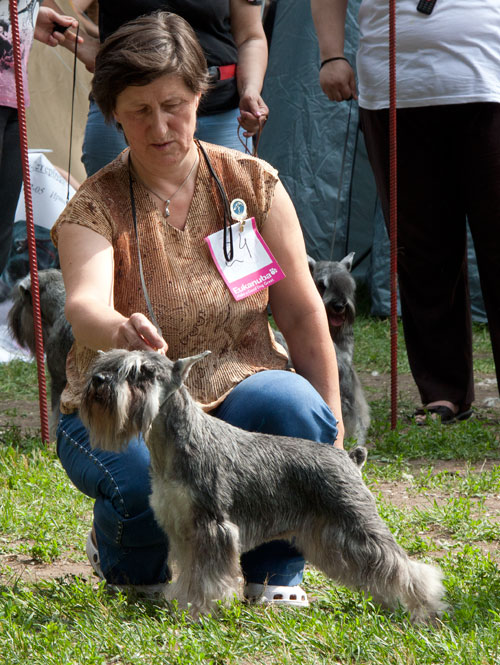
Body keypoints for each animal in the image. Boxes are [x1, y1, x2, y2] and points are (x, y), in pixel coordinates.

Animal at [81, 348, 446, 624]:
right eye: (107, 363)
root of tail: (350, 458)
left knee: (405, 566)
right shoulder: (184, 530)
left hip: (357, 525)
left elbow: (207, 579)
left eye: (141, 372)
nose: (97, 381)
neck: (172, 443)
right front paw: (184, 605)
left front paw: (200, 611)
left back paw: (425, 608)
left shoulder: (213, 529)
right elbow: (189, 574)